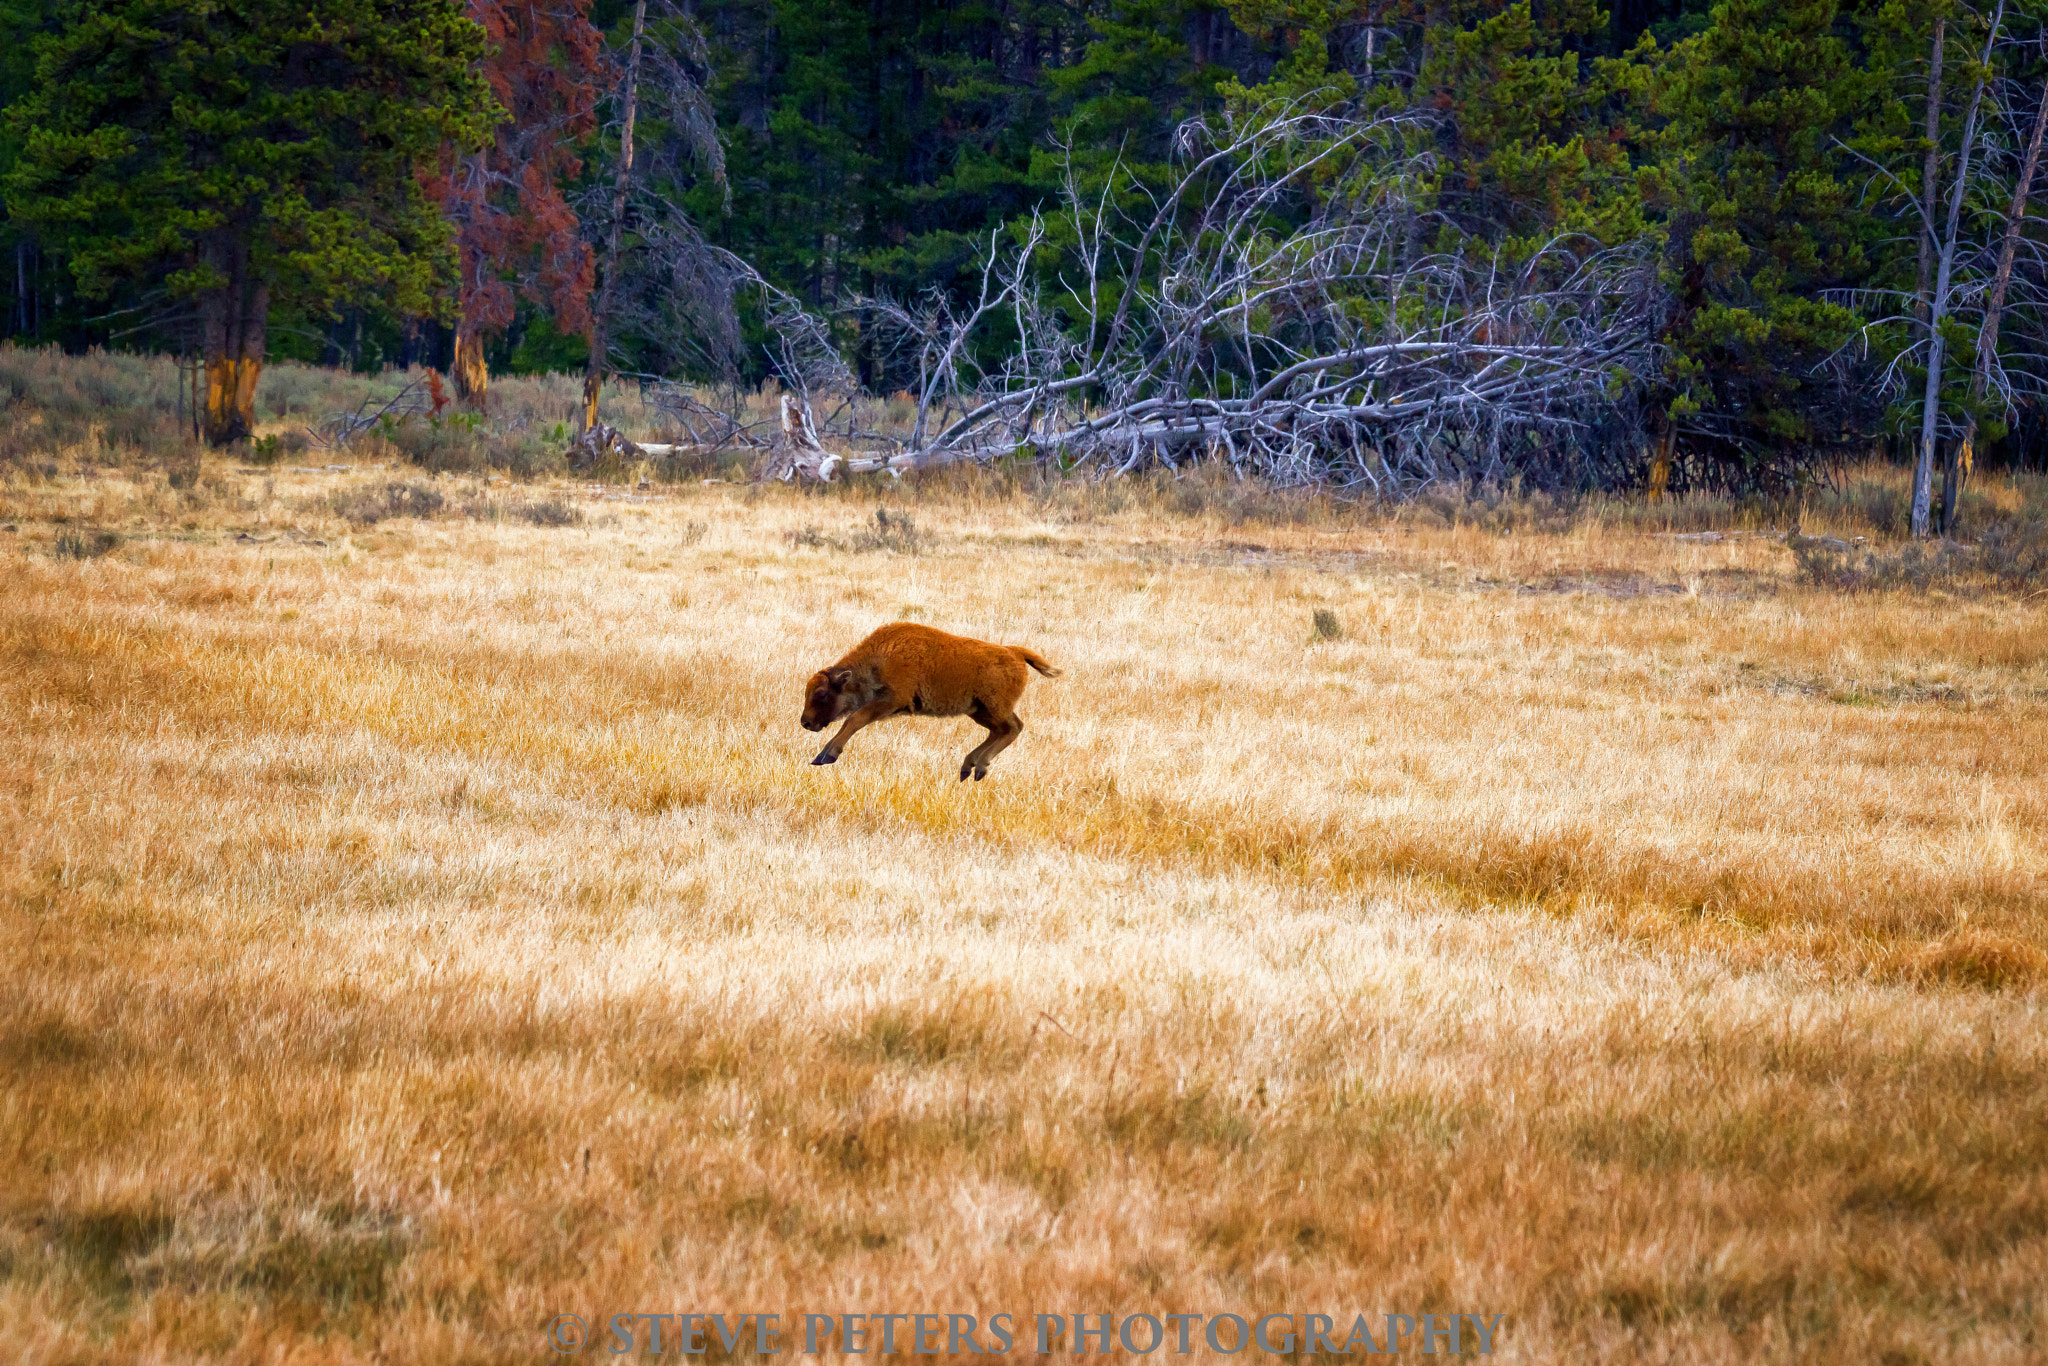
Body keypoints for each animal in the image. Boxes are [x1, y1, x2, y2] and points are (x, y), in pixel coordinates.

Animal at [794, 622, 1064, 778]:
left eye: (821, 694)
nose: (805, 722)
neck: (880, 659)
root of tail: (1014, 653)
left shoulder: (889, 701)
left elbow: (853, 720)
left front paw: (826, 756)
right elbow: (851, 721)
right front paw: (821, 755)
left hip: (994, 708)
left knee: (1014, 728)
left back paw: (979, 768)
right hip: (980, 712)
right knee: (1000, 731)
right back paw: (968, 768)